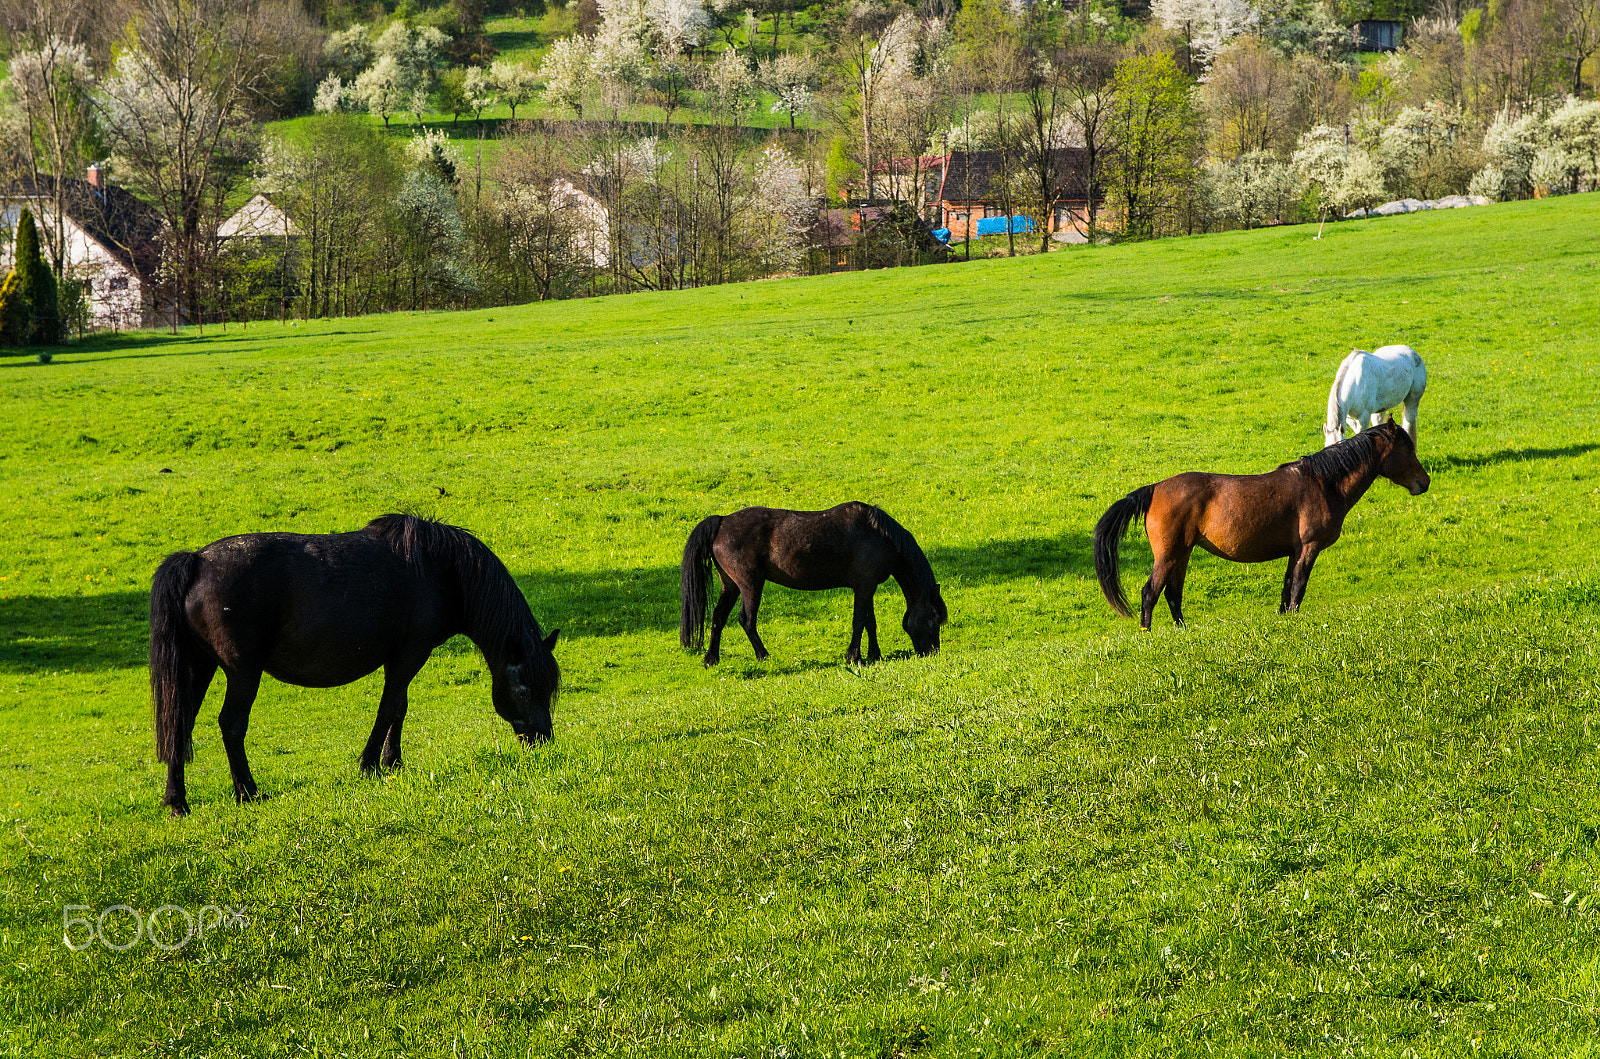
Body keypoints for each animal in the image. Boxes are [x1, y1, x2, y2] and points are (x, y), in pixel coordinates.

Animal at [678, 505, 947, 668]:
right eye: (935, 618)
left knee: (718, 617)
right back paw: (763, 655)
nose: (932, 652)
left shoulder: (866, 587)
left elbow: (870, 622)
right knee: (746, 620)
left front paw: (874, 655)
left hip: (731, 586)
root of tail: (722, 522)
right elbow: (859, 621)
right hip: (750, 584)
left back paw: (711, 658)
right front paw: (854, 656)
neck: (879, 535)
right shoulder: (864, 587)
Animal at [1094, 415, 1433, 630]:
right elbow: (1297, 589)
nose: (1424, 482)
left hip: (1182, 554)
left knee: (1172, 595)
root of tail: (1155, 489)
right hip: (1168, 555)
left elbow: (1287, 590)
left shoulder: (1295, 551)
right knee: (1150, 593)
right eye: (1407, 448)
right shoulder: (1308, 547)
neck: (1323, 482)